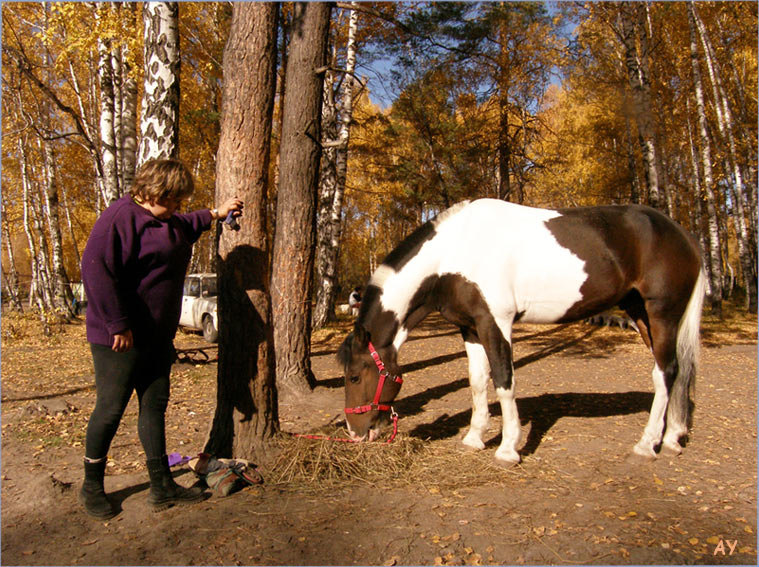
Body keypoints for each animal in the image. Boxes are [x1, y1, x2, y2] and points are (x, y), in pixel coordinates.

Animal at [338, 200, 708, 466]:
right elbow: (477, 382)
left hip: (662, 313)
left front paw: (507, 449)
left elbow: (504, 381)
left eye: (355, 376)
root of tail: (684, 235)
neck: (456, 252)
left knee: (665, 372)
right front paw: (474, 438)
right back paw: (672, 439)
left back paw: (647, 444)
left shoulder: (496, 323)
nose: (355, 433)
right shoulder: (470, 328)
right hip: (641, 314)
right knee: (677, 373)